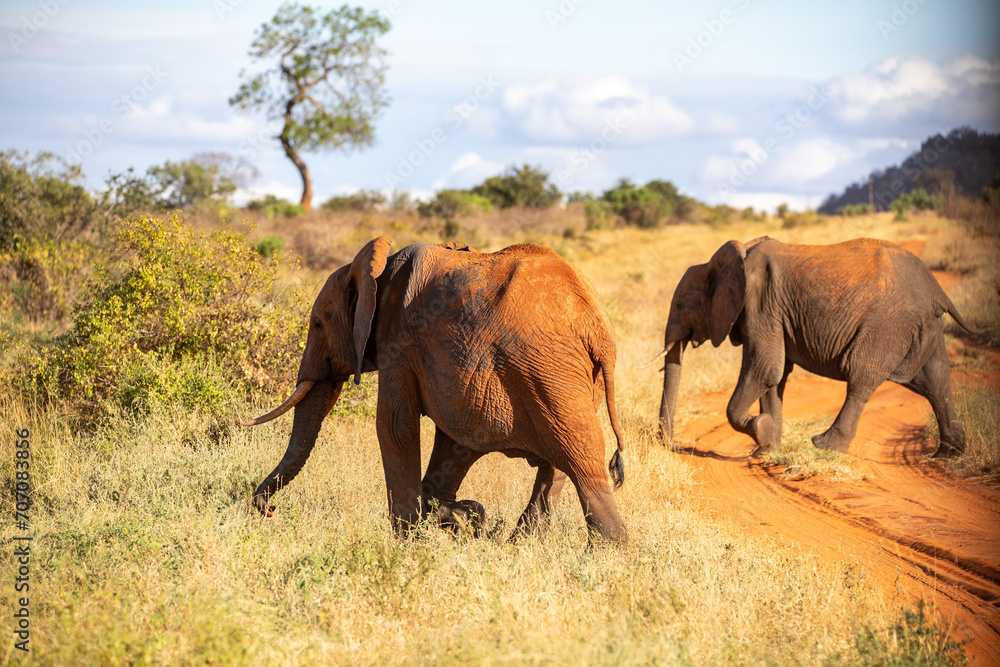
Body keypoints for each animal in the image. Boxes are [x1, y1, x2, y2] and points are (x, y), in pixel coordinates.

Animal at [244, 237, 628, 544]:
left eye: (317, 324)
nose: (269, 509)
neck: (378, 270)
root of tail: (597, 328)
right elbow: (453, 443)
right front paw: (462, 517)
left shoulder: (397, 340)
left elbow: (395, 426)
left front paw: (407, 541)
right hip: (565, 379)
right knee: (557, 470)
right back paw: (521, 546)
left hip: (548, 373)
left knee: (582, 462)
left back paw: (606, 555)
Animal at [652, 237, 971, 458]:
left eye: (681, 305)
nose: (675, 448)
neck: (733, 259)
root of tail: (937, 290)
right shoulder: (771, 311)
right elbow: (775, 377)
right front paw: (767, 449)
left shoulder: (760, 303)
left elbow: (765, 368)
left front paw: (761, 430)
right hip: (923, 326)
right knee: (935, 381)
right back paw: (948, 453)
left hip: (888, 324)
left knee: (861, 377)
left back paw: (825, 446)